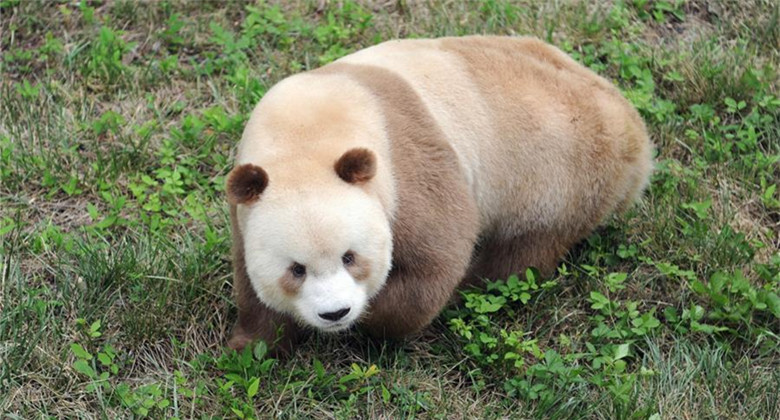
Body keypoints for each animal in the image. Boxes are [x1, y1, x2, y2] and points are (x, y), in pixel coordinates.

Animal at [224, 35, 652, 352]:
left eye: (350, 257)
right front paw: (250, 346)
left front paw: (374, 317)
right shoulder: (246, 207)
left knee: (522, 253)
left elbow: (437, 256)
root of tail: (635, 133)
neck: (305, 136)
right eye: (296, 269)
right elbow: (249, 279)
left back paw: (473, 285)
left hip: (559, 176)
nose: (336, 313)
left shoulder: (405, 164)